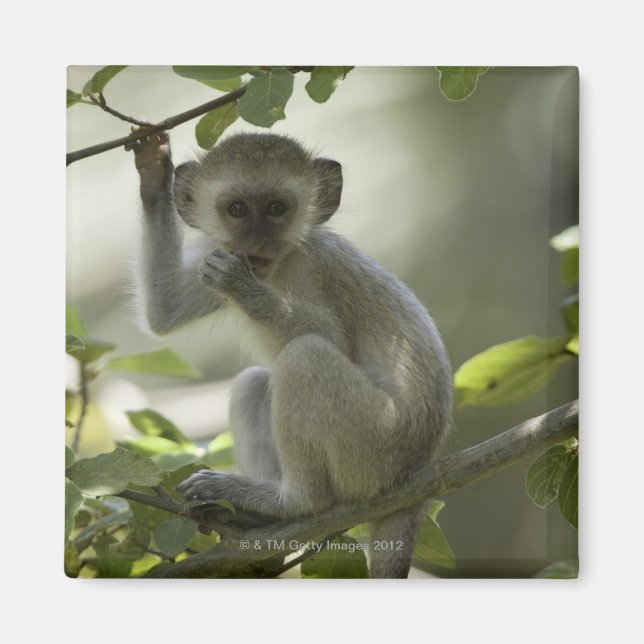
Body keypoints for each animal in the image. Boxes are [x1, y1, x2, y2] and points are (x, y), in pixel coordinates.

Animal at [128, 130, 453, 578]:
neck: (279, 264)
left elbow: (331, 336)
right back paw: (254, 515)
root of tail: (418, 471)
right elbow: (166, 310)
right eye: (238, 209)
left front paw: (243, 288)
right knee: (254, 382)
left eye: (276, 209)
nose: (254, 243)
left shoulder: (311, 267)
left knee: (304, 356)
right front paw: (153, 170)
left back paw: (293, 503)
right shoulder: (217, 251)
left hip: (375, 450)